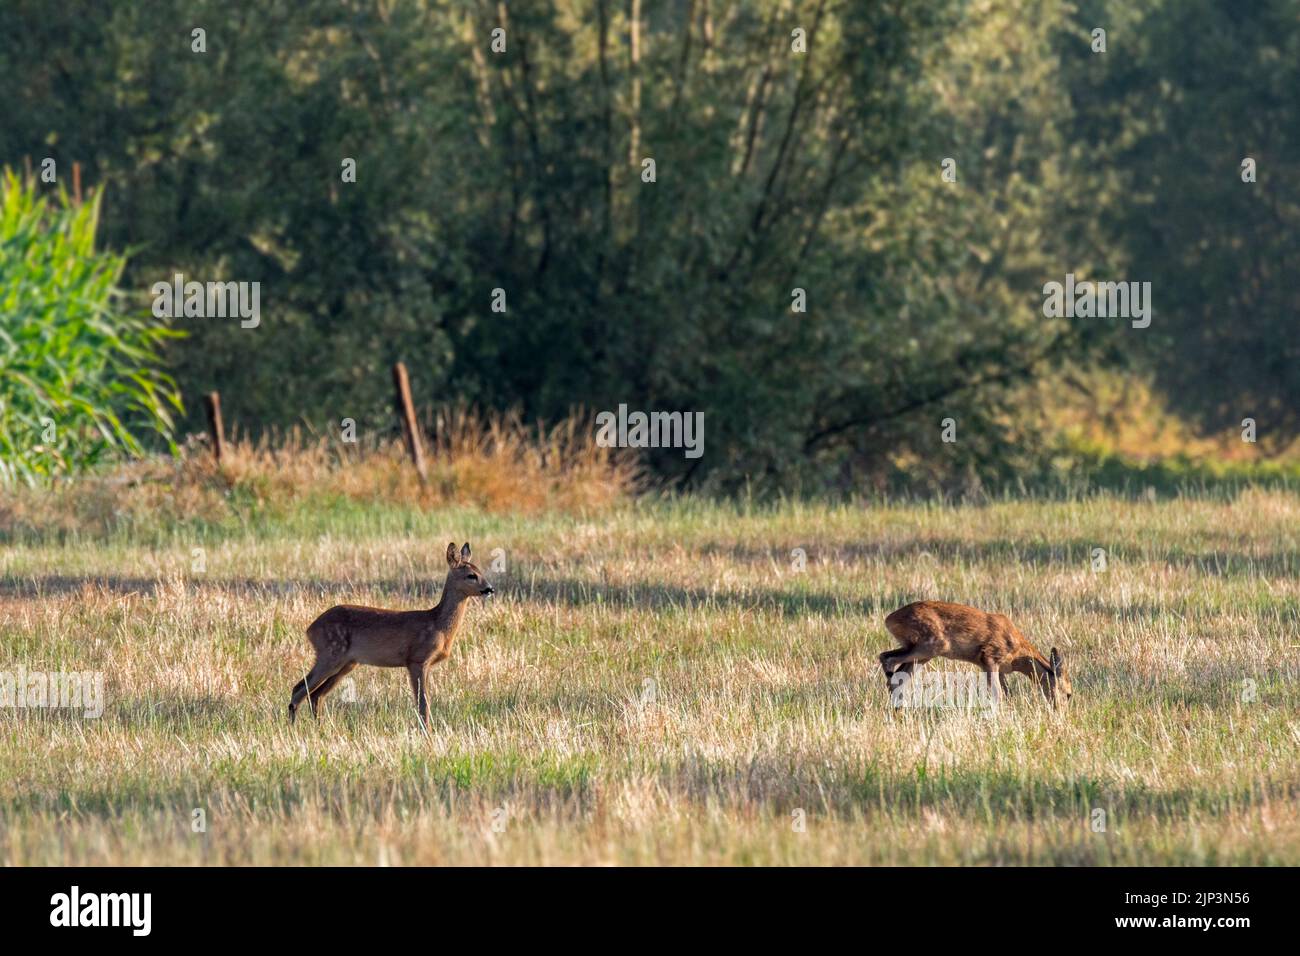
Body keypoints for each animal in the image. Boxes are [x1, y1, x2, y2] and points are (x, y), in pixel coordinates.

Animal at [288, 541, 491, 723]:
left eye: (481, 571)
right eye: (471, 575)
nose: (490, 589)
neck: (438, 625)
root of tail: (310, 629)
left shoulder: (425, 664)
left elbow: (424, 702)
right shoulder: (416, 659)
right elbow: (423, 704)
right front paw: (426, 733)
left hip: (347, 663)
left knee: (316, 695)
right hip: (330, 653)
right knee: (299, 689)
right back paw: (294, 729)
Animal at [883, 600, 1076, 707]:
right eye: (1068, 693)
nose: (1061, 712)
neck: (1019, 654)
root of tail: (889, 619)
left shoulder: (997, 668)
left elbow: (1007, 693)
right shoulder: (990, 656)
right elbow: (998, 694)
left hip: (922, 652)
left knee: (896, 670)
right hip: (932, 644)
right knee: (888, 661)